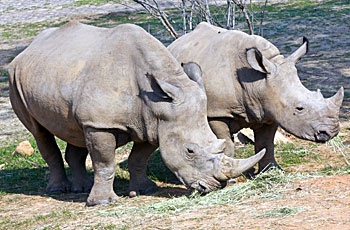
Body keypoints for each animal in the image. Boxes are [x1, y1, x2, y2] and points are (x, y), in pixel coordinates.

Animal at [8, 22, 266, 207]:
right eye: (190, 151)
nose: (212, 187)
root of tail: (29, 48)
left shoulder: (153, 122)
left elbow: (139, 158)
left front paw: (144, 190)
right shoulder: (102, 124)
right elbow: (105, 162)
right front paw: (102, 203)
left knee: (75, 131)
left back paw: (81, 188)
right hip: (14, 78)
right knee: (39, 132)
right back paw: (58, 190)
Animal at [168, 22, 344, 174]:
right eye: (299, 108)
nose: (332, 131)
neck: (257, 83)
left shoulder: (270, 109)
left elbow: (266, 143)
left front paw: (272, 171)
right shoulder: (216, 112)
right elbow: (225, 144)